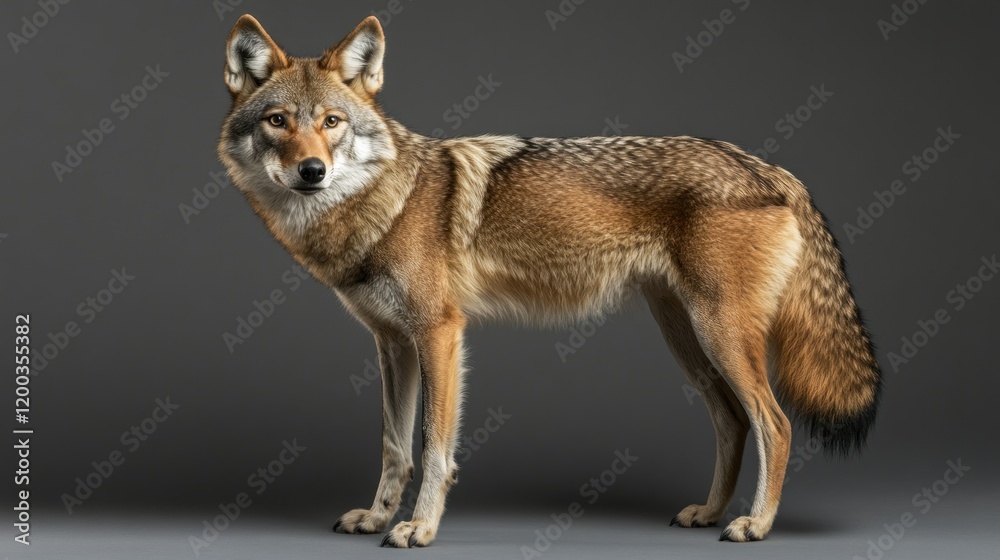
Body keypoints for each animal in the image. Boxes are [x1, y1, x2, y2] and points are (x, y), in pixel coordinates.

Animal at [217, 15, 882, 548]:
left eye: (332, 122)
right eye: (277, 121)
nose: (312, 170)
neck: (383, 203)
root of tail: (771, 167)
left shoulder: (440, 335)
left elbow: (433, 448)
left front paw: (419, 528)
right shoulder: (393, 345)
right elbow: (394, 448)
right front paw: (378, 518)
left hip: (719, 335)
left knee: (776, 423)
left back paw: (755, 525)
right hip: (689, 340)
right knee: (733, 420)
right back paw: (710, 513)